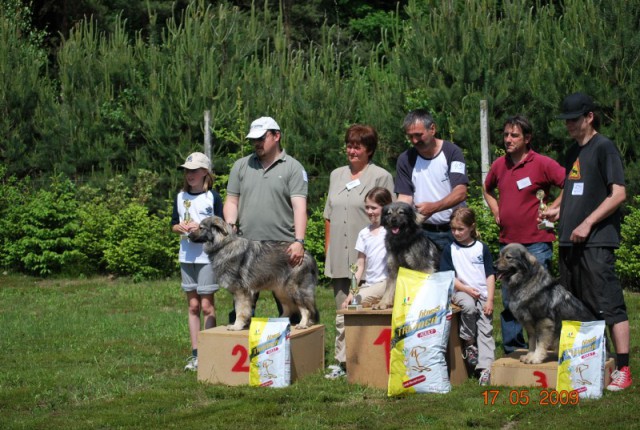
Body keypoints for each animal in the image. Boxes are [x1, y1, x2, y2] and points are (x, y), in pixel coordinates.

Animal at [190, 217, 320, 330]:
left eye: (201, 228)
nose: (188, 235)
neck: (224, 245)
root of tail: (307, 254)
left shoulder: (241, 292)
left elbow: (240, 311)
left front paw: (237, 326)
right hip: (281, 291)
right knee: (289, 308)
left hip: (293, 289)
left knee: (306, 309)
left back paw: (302, 324)